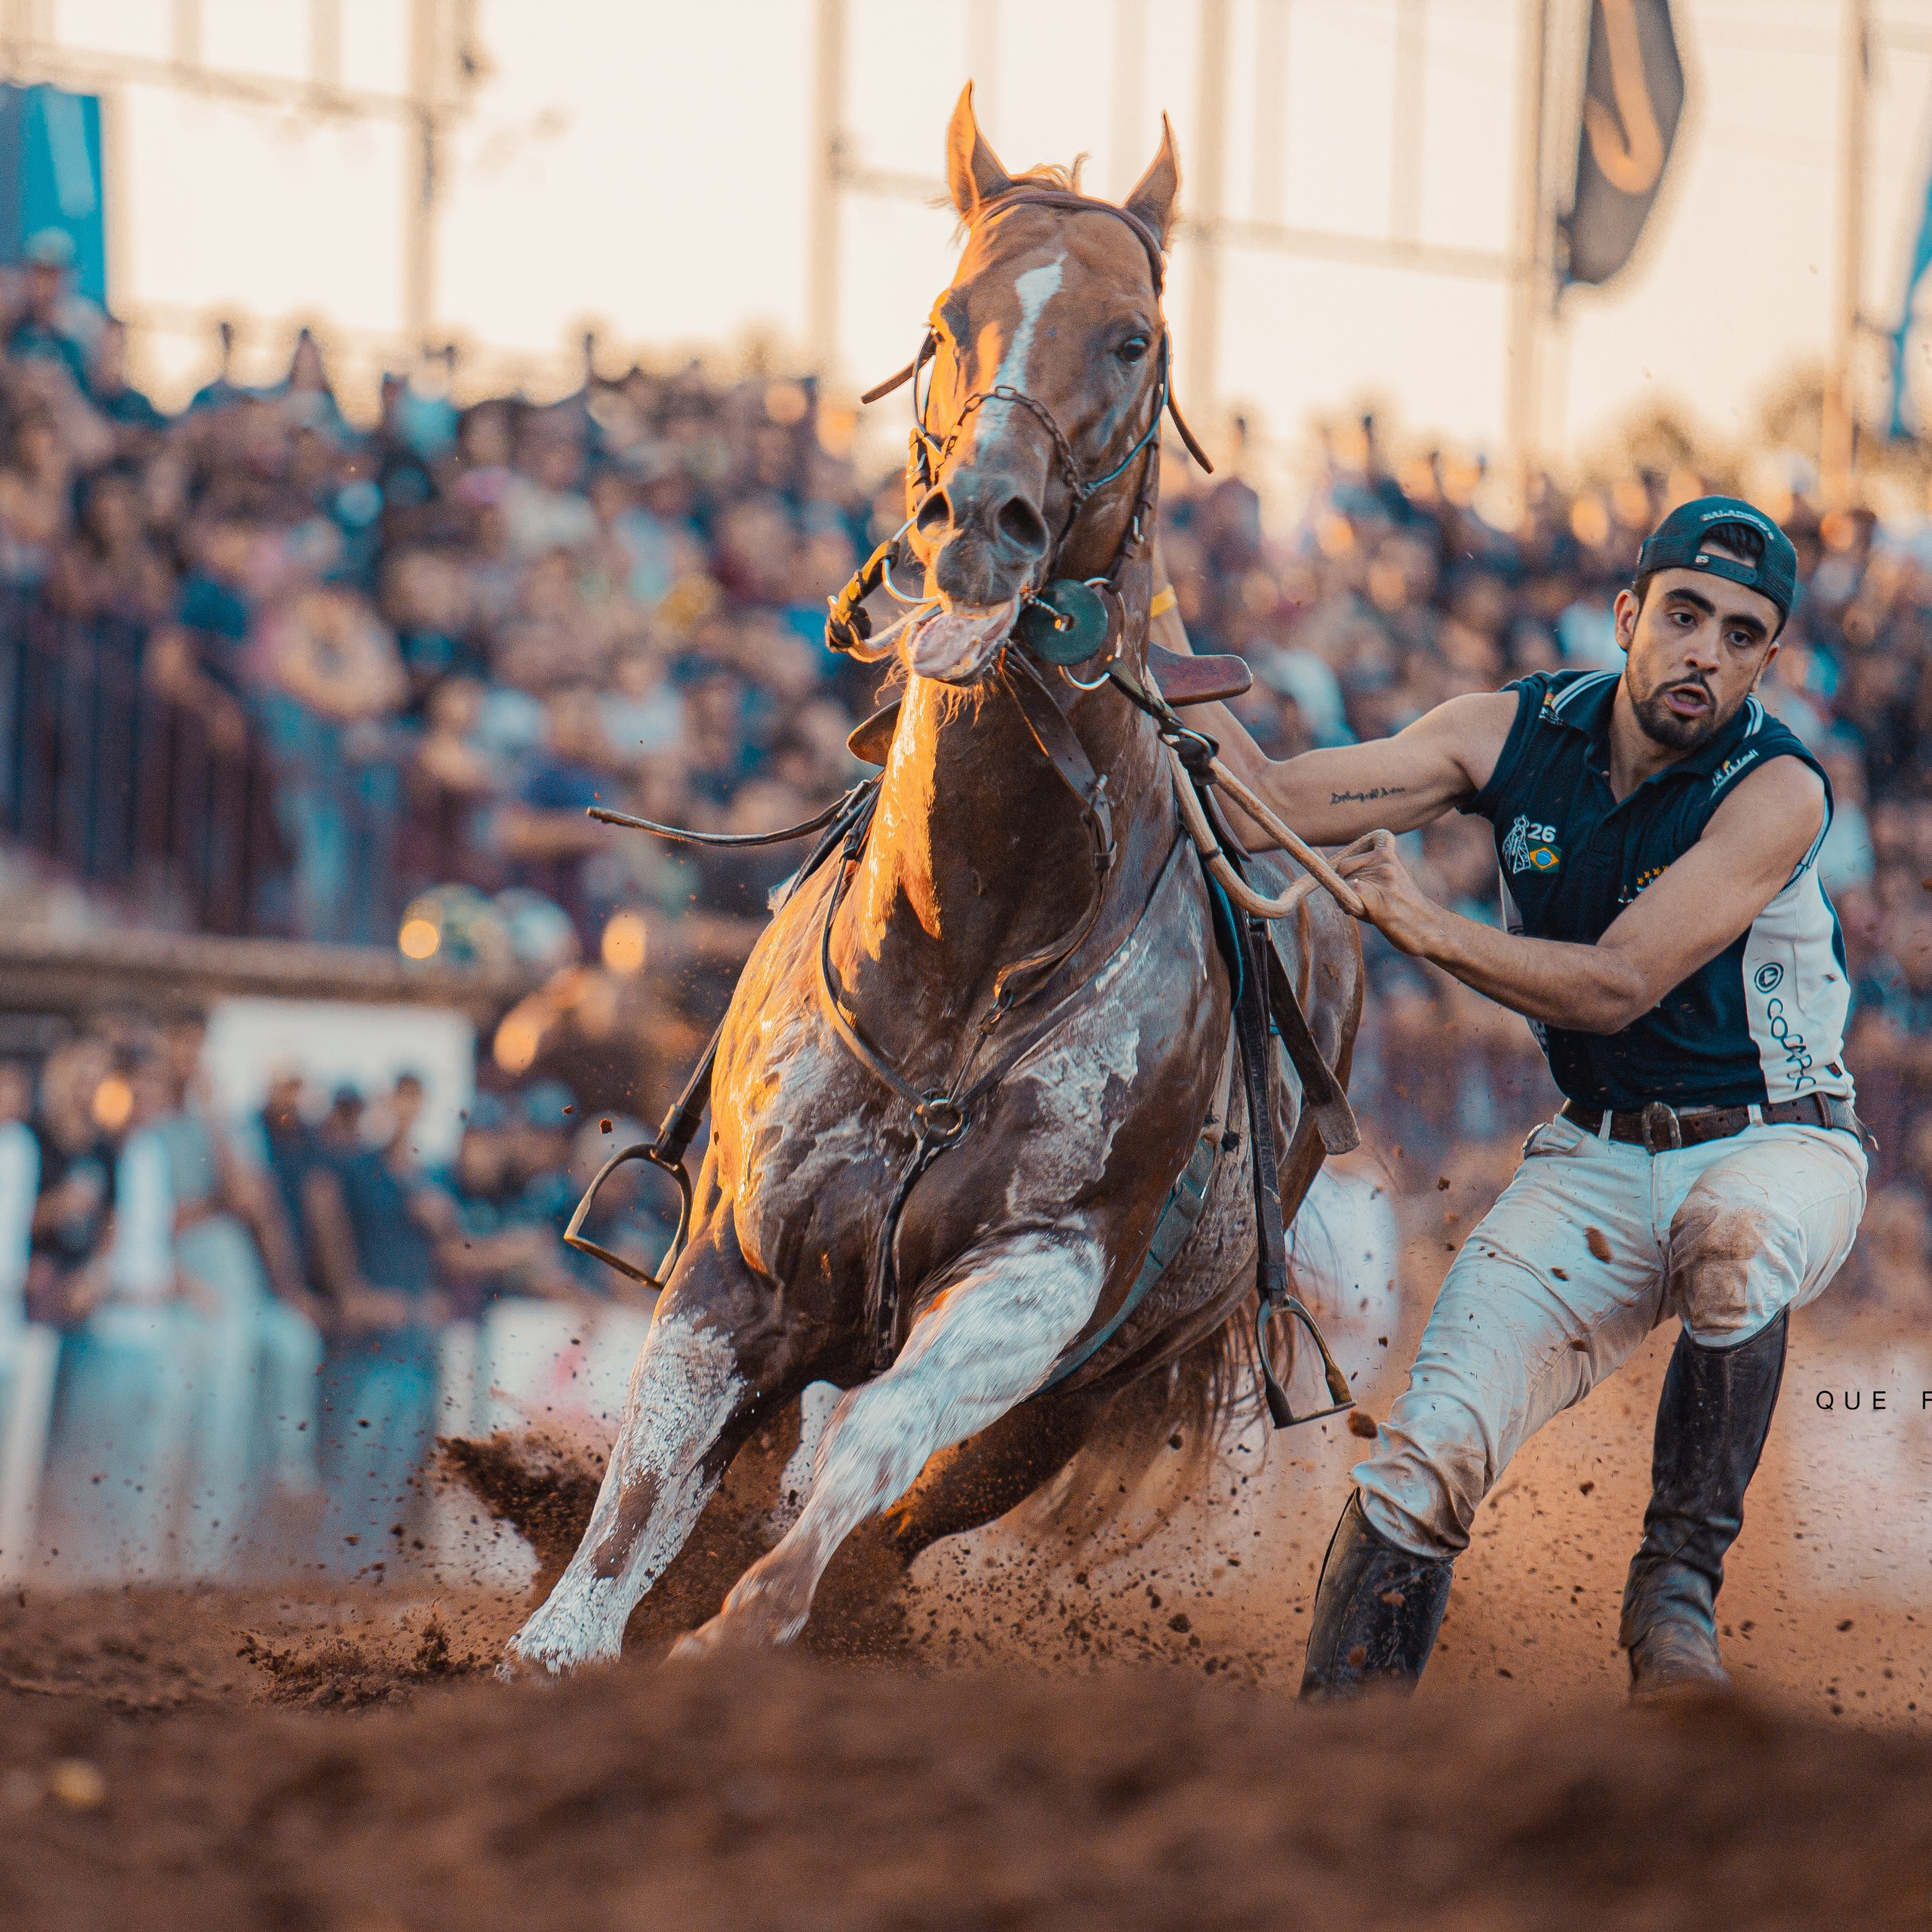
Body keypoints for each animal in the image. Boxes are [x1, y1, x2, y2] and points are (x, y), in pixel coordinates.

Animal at [495, 87, 1363, 1675]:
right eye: (947, 317)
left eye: (1130, 335)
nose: (983, 518)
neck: (964, 948)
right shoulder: (741, 1267)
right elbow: (640, 1495)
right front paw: (563, 1639)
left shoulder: (1043, 1274)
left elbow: (878, 1450)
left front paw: (752, 1618)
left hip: (1085, 1388)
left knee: (912, 1504)